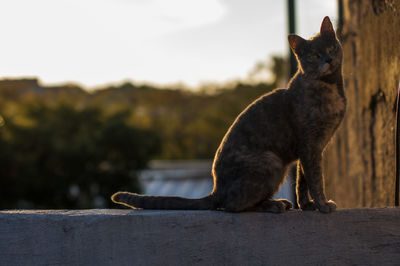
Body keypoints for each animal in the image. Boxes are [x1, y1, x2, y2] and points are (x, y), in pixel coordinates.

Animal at [111, 16, 346, 213]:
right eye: (314, 55)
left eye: (331, 47)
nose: (328, 59)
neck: (330, 86)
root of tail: (216, 190)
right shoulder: (309, 144)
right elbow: (315, 179)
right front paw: (323, 205)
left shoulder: (312, 147)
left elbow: (302, 181)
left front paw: (308, 205)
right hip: (271, 161)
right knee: (232, 205)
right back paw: (273, 205)